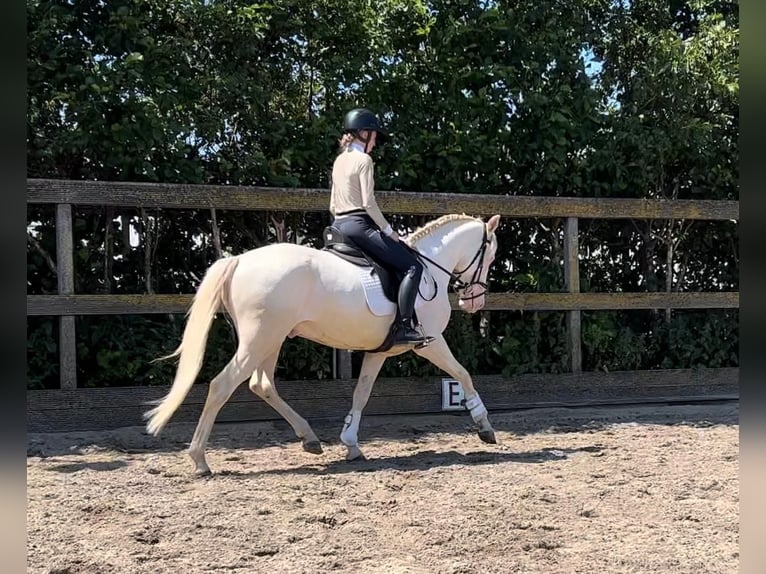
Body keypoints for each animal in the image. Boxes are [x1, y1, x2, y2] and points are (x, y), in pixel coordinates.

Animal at [144, 214, 504, 474]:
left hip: (270, 341)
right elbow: (463, 373)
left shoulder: (381, 351)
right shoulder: (428, 342)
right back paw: (200, 460)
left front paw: (351, 444)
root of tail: (239, 261)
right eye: (490, 256)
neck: (429, 266)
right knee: (222, 385)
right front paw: (485, 426)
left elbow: (361, 393)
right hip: (260, 339)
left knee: (262, 385)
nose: (475, 301)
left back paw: (310, 439)